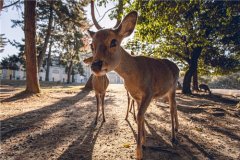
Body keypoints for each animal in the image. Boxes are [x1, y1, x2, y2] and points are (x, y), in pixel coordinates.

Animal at [89, 1, 179, 159]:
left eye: (113, 41)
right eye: (91, 45)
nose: (95, 65)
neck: (134, 75)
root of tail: (178, 67)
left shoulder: (149, 92)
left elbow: (139, 115)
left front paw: (139, 152)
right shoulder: (135, 96)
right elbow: (139, 115)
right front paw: (143, 142)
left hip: (173, 88)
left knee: (172, 109)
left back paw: (174, 137)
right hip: (167, 92)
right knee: (175, 107)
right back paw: (176, 131)